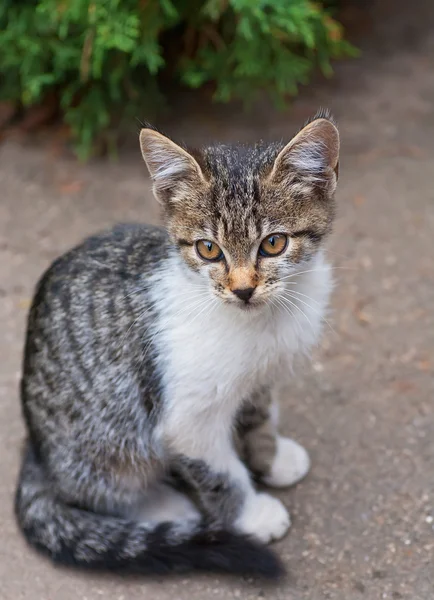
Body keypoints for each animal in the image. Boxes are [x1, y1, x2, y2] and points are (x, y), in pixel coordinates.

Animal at [14, 111, 340, 576]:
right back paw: (168, 511)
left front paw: (271, 457)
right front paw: (253, 513)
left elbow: (259, 414)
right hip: (104, 440)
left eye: (274, 243)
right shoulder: (186, 418)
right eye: (208, 250)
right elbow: (219, 472)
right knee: (98, 492)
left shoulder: (259, 377)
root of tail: (36, 450)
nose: (243, 289)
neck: (259, 320)